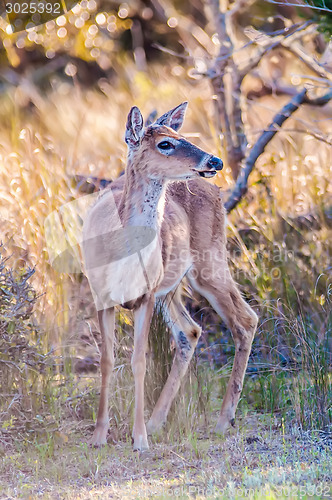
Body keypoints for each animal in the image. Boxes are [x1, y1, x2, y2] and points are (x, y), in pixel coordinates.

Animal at [81, 102, 258, 454]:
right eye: (165, 143)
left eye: (182, 136)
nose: (214, 161)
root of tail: (215, 190)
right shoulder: (102, 296)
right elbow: (106, 361)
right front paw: (98, 435)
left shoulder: (146, 295)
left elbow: (139, 361)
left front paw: (138, 439)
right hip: (172, 287)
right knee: (190, 331)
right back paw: (157, 421)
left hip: (208, 260)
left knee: (245, 320)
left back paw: (222, 420)